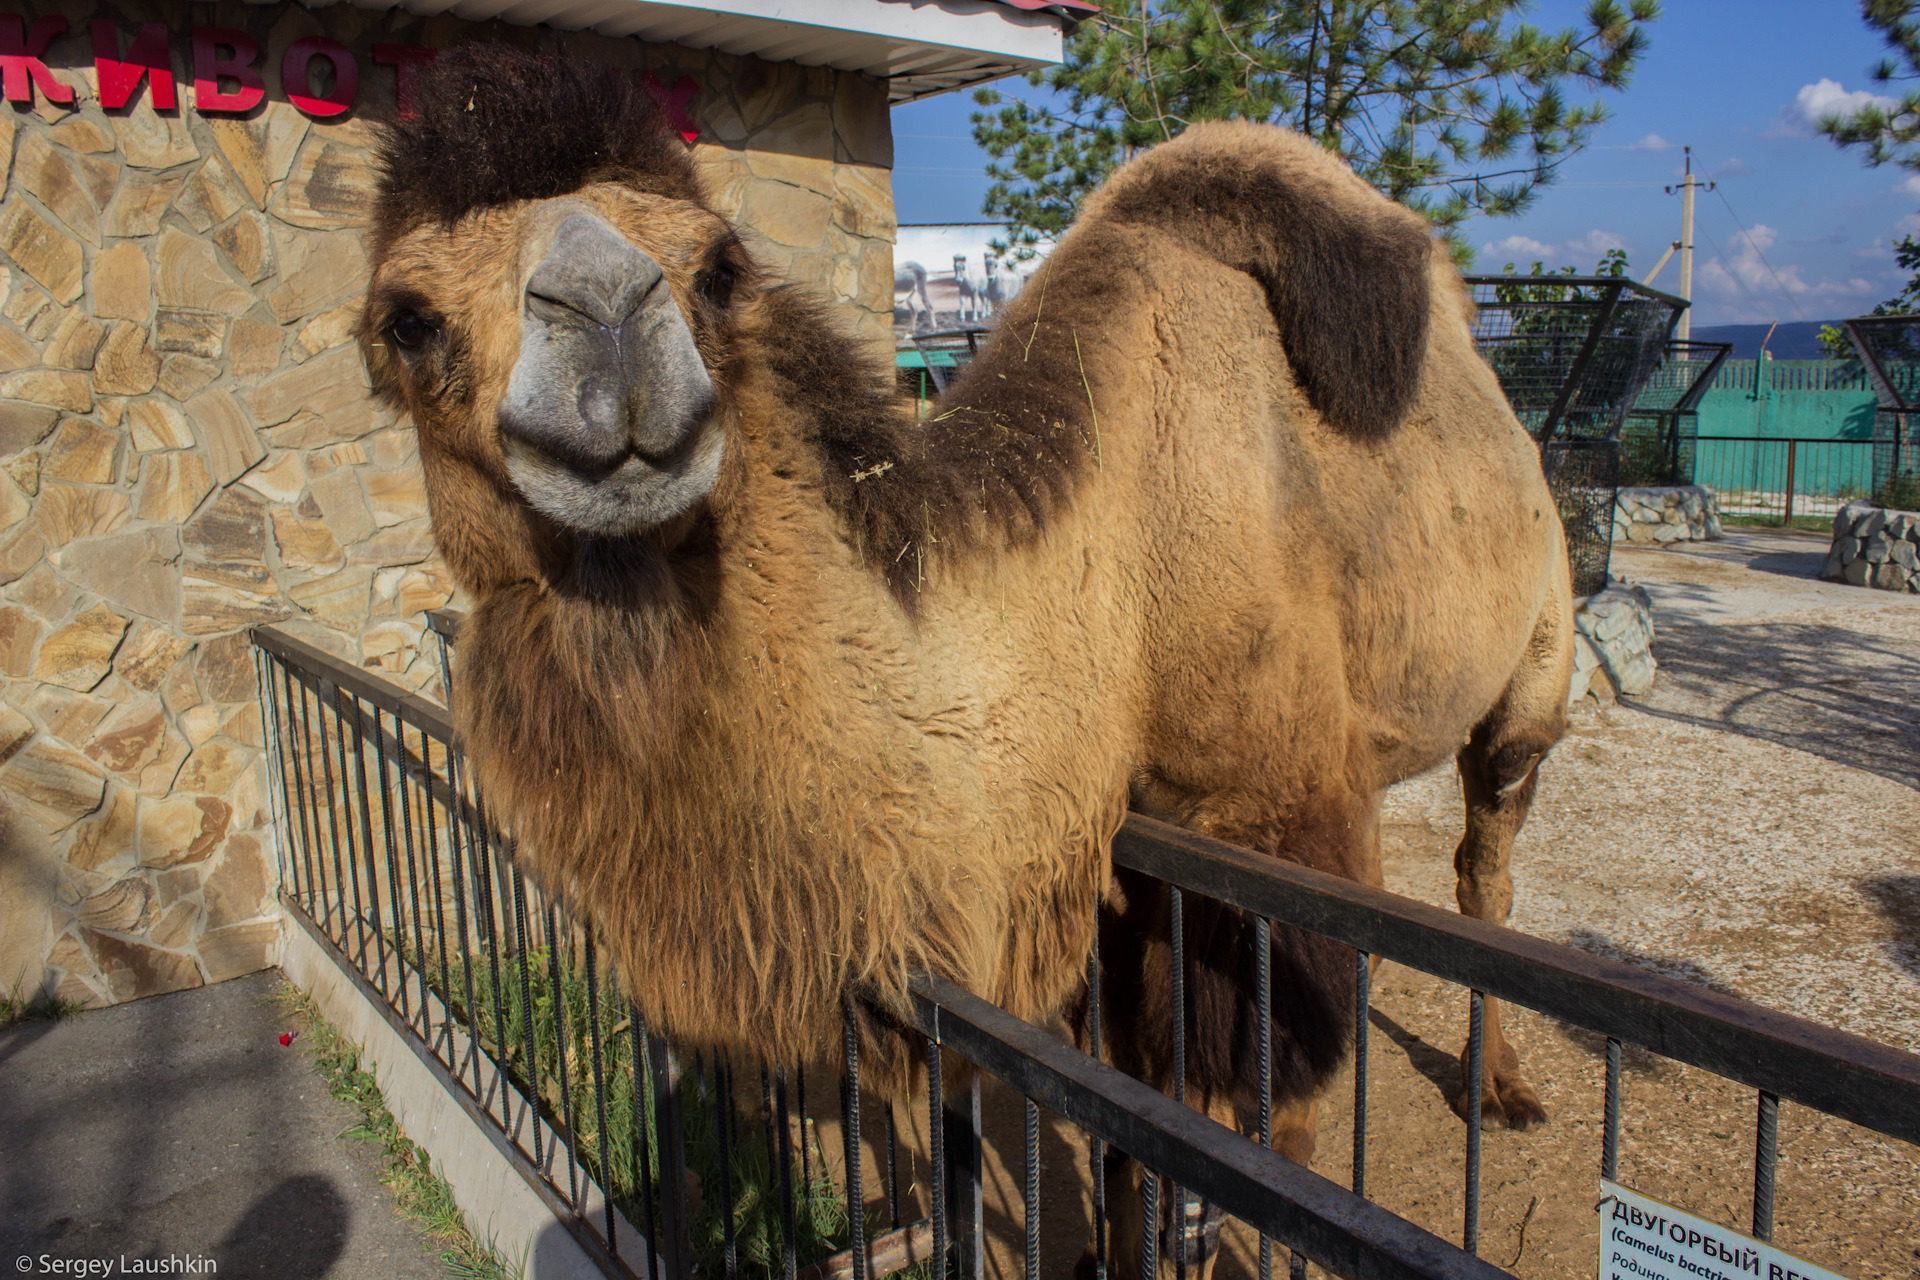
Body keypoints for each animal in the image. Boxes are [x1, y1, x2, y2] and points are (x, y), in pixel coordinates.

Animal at [360, 45, 1574, 1274]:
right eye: (405, 322)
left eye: (719, 268)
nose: (611, 325)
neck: (1114, 583)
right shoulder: (1114, 857)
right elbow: (1133, 1117)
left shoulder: (1281, 818)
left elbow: (1274, 1123)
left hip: (1536, 653)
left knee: (1486, 856)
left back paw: (1504, 1090)